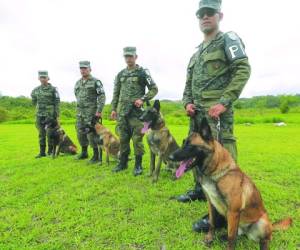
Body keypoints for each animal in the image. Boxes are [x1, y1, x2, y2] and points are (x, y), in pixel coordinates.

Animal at [170, 117, 292, 250]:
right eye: (183, 143)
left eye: (190, 146)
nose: (170, 157)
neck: (217, 174)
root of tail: (271, 225)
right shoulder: (211, 203)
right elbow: (212, 223)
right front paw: (210, 238)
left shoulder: (233, 212)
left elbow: (231, 238)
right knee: (238, 233)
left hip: (262, 222)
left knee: (264, 240)